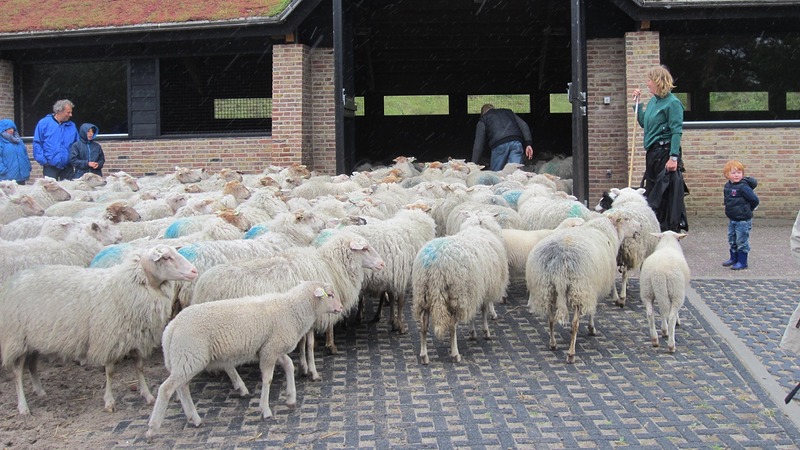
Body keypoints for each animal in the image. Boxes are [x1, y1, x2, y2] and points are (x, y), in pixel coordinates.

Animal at [0, 246, 198, 414]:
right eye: (166, 257)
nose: (194, 271)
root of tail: (11, 282)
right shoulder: (110, 339)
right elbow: (110, 371)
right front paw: (109, 401)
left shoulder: (135, 337)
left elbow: (139, 367)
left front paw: (147, 395)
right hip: (16, 338)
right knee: (17, 372)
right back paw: (23, 407)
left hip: (32, 340)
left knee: (32, 365)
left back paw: (40, 390)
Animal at [147, 280, 340, 438]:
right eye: (330, 295)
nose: (339, 309)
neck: (292, 309)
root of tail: (171, 328)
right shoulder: (270, 351)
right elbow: (267, 379)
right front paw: (265, 409)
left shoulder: (269, 349)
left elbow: (289, 365)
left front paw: (291, 398)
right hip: (189, 356)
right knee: (166, 389)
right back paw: (153, 427)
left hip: (185, 359)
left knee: (182, 387)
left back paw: (194, 418)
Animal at [412, 209, 512, 364]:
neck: (478, 229)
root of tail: (436, 264)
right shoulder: (481, 290)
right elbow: (483, 310)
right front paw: (484, 331)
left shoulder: (475, 290)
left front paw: (473, 332)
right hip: (456, 294)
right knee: (452, 326)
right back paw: (455, 354)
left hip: (423, 294)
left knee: (423, 326)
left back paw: (424, 356)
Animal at [524, 213, 644, 364]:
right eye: (627, 218)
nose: (641, 226)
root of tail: (560, 261)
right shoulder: (592, 287)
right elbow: (593, 310)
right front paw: (591, 328)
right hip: (578, 287)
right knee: (574, 323)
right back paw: (571, 353)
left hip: (547, 288)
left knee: (551, 319)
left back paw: (553, 344)